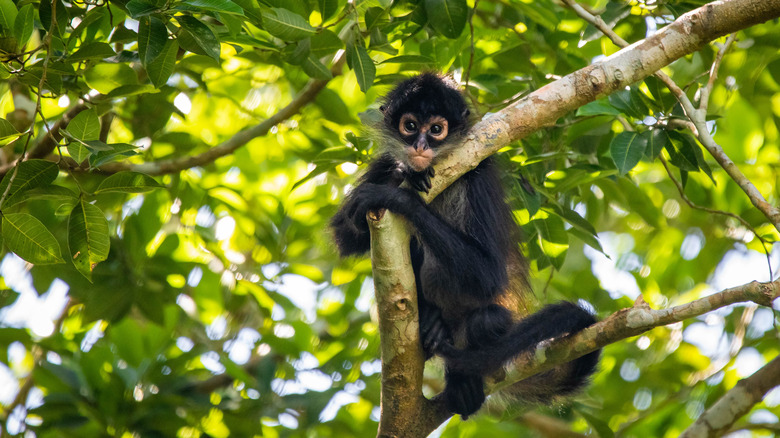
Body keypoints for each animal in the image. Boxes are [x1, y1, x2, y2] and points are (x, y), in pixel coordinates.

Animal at [330, 72, 596, 418]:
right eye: (410, 125)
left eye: (436, 130)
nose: (419, 146)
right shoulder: (385, 160)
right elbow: (345, 237)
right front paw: (401, 173)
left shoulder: (477, 172)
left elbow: (489, 275)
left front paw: (397, 194)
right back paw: (431, 320)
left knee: (486, 320)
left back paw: (461, 375)